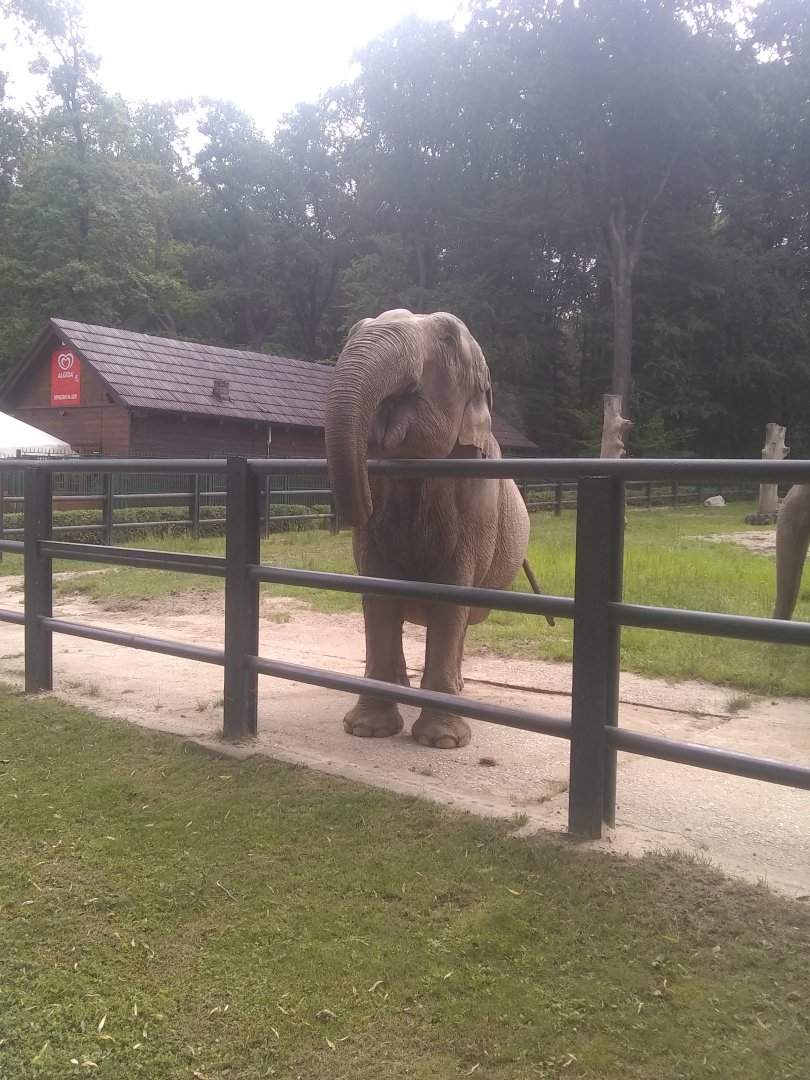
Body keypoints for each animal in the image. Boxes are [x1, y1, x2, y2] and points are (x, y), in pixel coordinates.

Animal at [324, 308, 531, 749]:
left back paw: (455, 689)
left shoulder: (476, 508)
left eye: (449, 339)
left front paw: (443, 742)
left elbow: (451, 598)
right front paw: (367, 730)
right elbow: (379, 592)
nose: (361, 509)